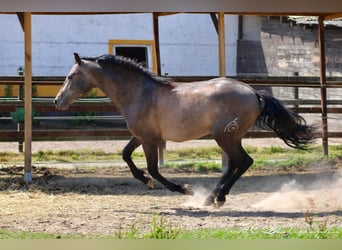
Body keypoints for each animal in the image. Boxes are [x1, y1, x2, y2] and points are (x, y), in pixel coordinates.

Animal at [54, 53, 316, 207]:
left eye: (71, 76)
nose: (57, 101)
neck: (139, 93)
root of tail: (254, 93)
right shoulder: (142, 136)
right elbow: (126, 155)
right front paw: (146, 181)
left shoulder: (149, 140)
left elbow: (154, 168)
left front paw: (182, 189)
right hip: (230, 137)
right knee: (236, 163)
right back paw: (213, 197)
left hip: (225, 136)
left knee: (243, 162)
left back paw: (216, 197)